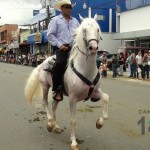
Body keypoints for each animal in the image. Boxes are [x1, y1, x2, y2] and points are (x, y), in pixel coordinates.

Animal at [24, 15, 109, 150]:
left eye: (98, 29)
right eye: (84, 30)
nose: (93, 48)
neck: (85, 70)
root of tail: (42, 63)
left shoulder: (95, 92)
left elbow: (106, 98)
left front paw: (99, 123)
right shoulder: (73, 99)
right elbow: (73, 120)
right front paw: (73, 142)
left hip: (59, 93)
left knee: (54, 105)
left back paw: (56, 126)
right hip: (45, 86)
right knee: (44, 102)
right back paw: (50, 123)